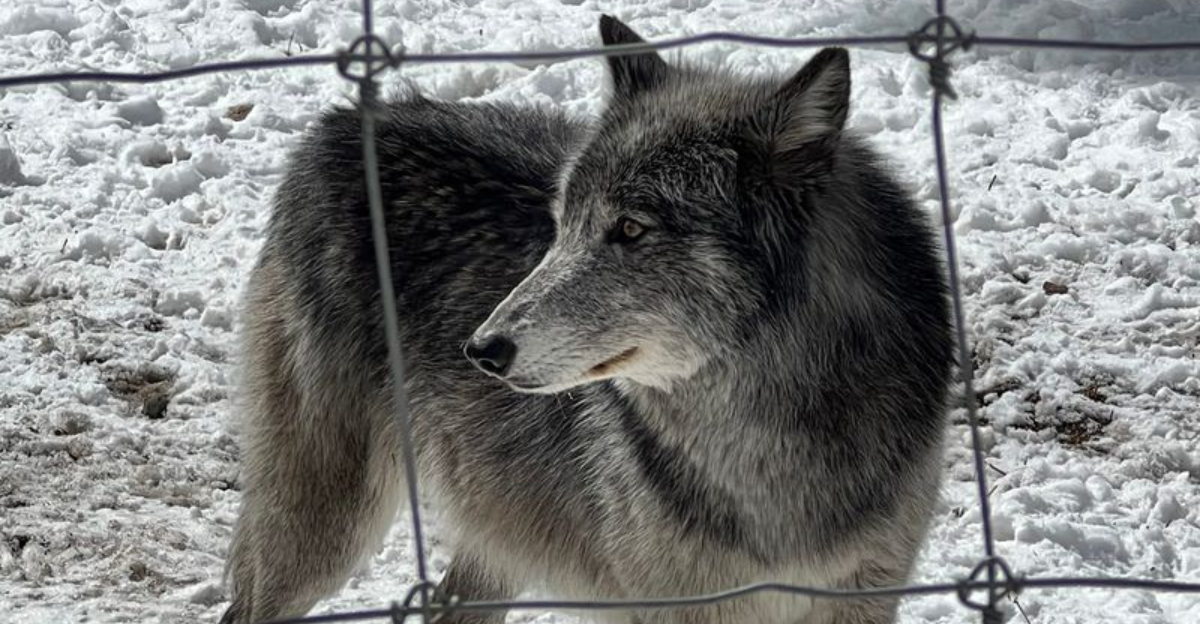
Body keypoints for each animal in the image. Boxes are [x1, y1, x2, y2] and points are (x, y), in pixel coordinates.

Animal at [220, 14, 953, 624]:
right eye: (560, 225)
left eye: (630, 229)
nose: (482, 349)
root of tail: (341, 122)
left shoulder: (868, 593)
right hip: (324, 529)